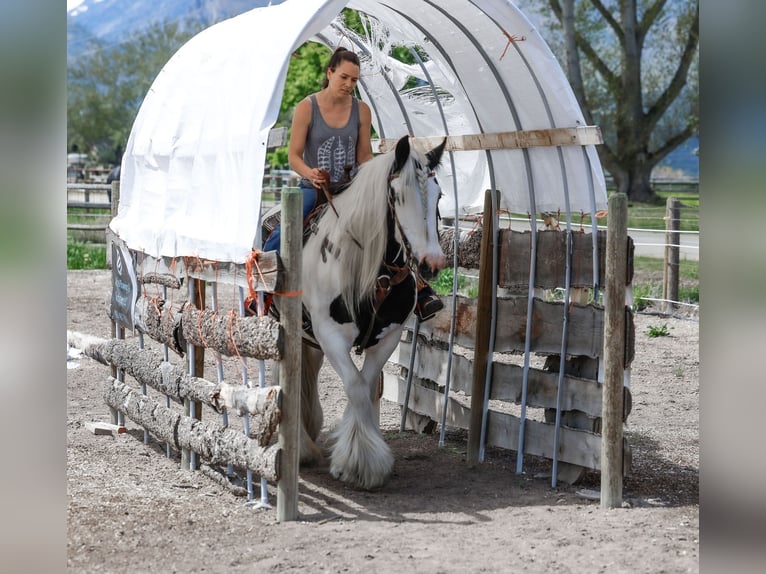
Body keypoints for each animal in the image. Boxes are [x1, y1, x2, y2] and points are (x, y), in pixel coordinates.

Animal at [272, 136, 448, 490]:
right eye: (399, 195)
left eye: (439, 196)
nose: (431, 264)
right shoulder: (330, 336)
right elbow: (354, 386)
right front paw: (360, 464)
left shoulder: (388, 337)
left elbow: (365, 387)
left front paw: (355, 448)